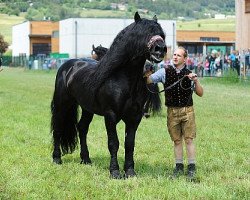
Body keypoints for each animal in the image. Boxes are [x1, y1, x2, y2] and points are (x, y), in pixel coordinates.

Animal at [50, 12, 166, 178]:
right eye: (143, 33)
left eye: (161, 34)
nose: (160, 49)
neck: (125, 80)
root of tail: (67, 66)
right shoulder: (110, 115)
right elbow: (113, 143)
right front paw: (115, 172)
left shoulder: (135, 117)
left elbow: (129, 144)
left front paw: (130, 171)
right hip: (62, 104)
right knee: (58, 127)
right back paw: (57, 158)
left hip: (87, 108)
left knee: (82, 128)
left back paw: (86, 159)